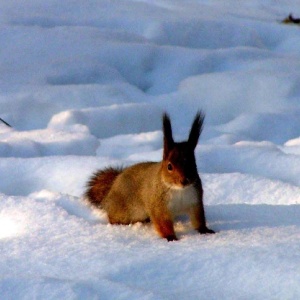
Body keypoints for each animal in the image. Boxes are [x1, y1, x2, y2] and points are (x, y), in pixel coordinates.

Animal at [85, 112, 214, 241]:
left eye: (193, 164)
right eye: (169, 166)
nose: (184, 180)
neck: (179, 190)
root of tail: (112, 186)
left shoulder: (195, 202)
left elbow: (198, 219)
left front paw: (205, 230)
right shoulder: (159, 207)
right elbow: (163, 224)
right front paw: (171, 237)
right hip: (124, 210)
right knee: (113, 217)